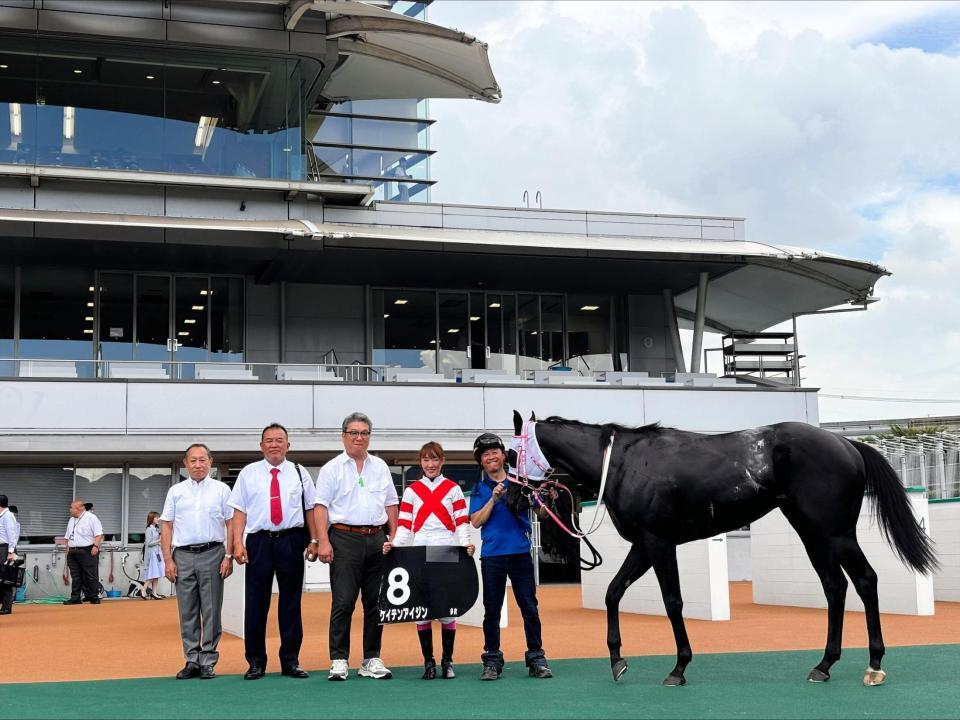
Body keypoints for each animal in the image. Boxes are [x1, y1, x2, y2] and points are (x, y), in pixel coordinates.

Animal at [510, 410, 936, 688]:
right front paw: (617, 661)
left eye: (512, 452)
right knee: (836, 587)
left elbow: (673, 601)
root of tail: (846, 443)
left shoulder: (658, 542)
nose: (511, 495)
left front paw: (679, 668)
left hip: (836, 533)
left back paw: (874, 664)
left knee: (865, 580)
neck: (624, 463)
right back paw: (824, 664)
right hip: (812, 533)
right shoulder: (643, 546)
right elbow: (614, 592)